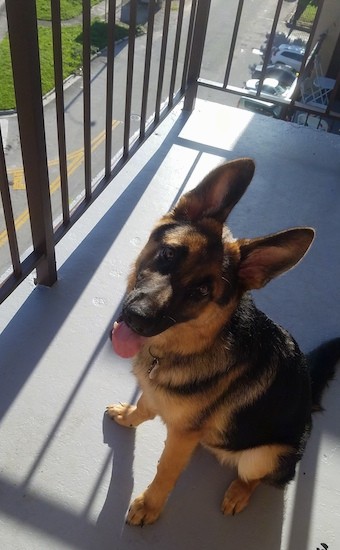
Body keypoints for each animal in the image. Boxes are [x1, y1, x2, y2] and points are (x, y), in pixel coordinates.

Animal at [107, 157, 340, 528]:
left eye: (202, 291)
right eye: (169, 254)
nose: (136, 318)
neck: (194, 343)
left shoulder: (181, 439)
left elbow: (166, 471)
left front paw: (149, 505)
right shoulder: (158, 398)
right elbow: (144, 405)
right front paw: (130, 415)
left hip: (265, 455)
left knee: (260, 477)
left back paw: (238, 493)